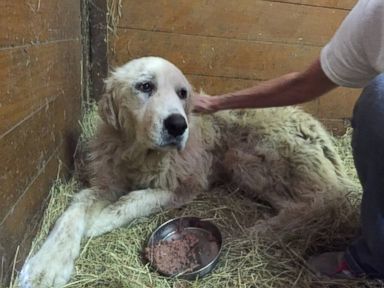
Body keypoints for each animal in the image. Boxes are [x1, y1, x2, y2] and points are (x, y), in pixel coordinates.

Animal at [20, 56, 352, 288]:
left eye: (182, 93)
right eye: (145, 86)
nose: (178, 125)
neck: (140, 154)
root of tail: (321, 134)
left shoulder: (186, 183)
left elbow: (137, 199)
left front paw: (102, 220)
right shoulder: (105, 182)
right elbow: (72, 213)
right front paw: (45, 266)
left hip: (247, 160)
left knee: (319, 203)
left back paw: (265, 230)